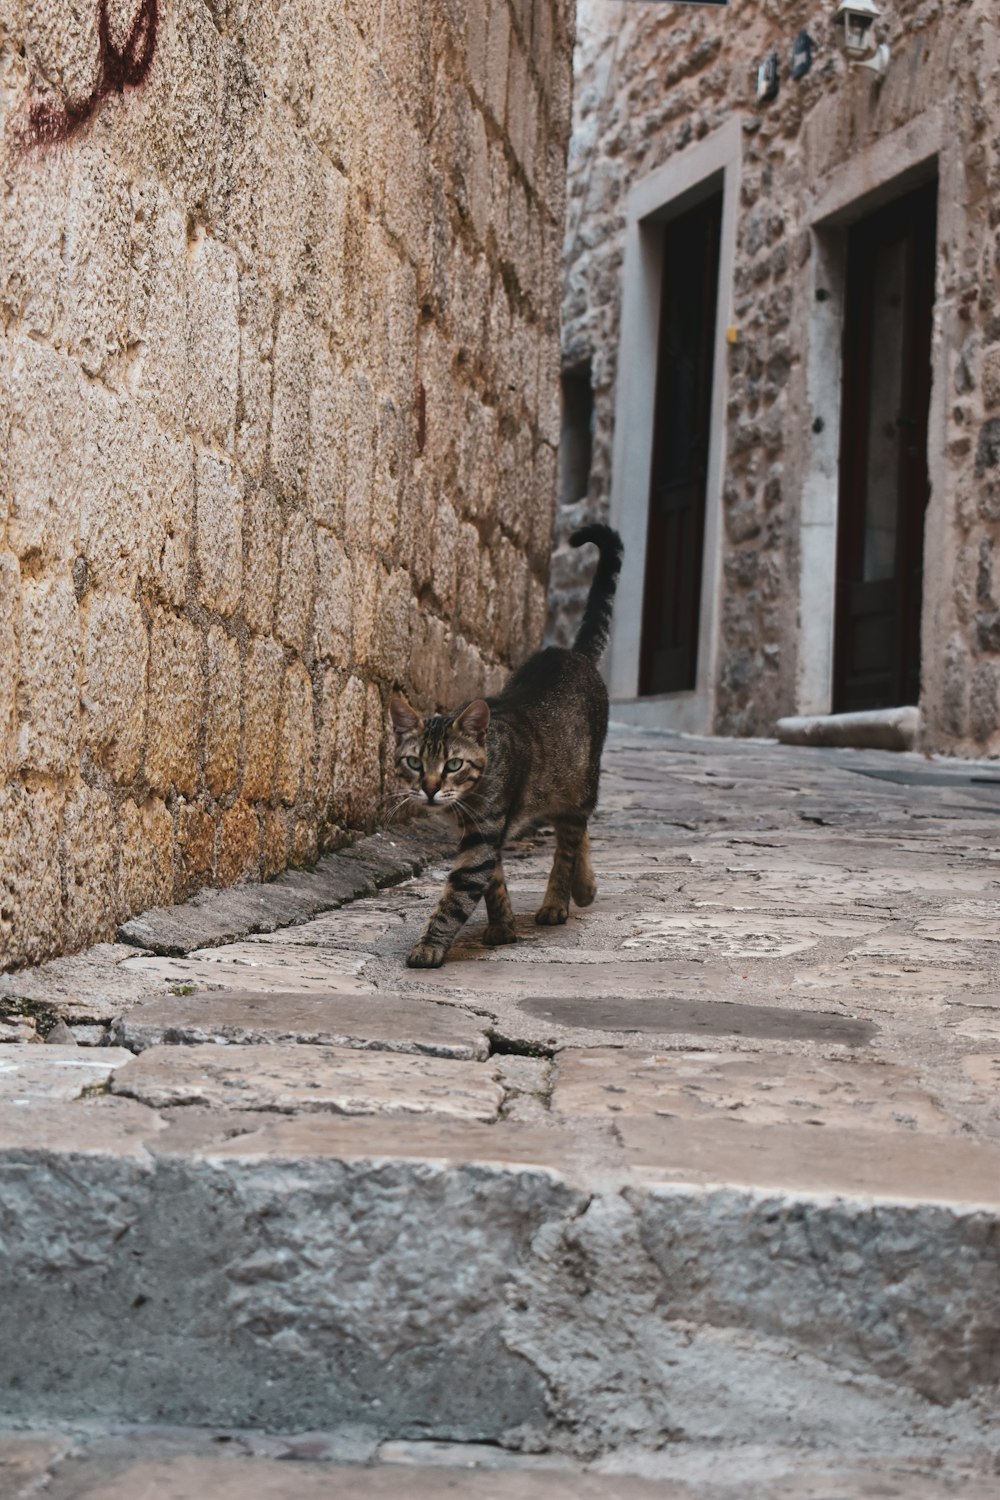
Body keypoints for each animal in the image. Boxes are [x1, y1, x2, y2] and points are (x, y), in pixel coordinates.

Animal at [392, 528, 620, 966]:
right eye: (413, 762)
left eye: (453, 765)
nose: (429, 789)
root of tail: (573, 653)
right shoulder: (480, 833)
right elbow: (495, 881)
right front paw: (502, 927)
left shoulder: (483, 833)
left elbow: (458, 896)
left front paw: (429, 946)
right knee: (579, 831)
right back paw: (583, 888)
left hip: (579, 783)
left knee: (569, 841)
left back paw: (558, 902)